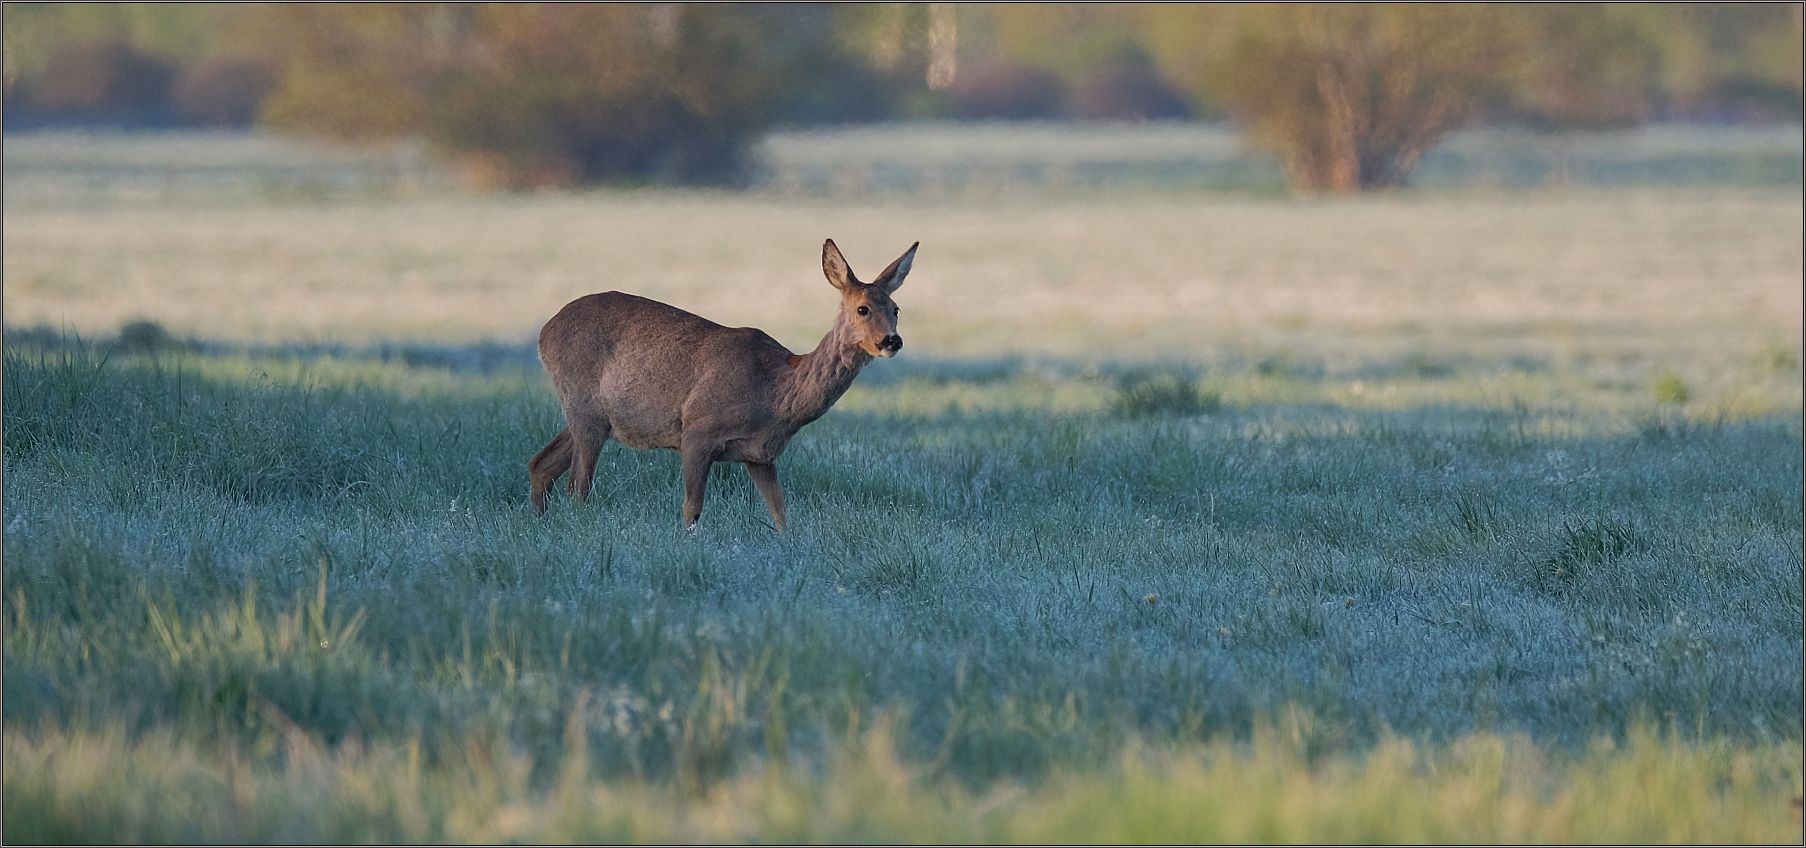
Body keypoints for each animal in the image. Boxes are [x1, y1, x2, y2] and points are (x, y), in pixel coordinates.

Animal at [527, 239, 917, 530]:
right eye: (863, 308)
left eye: (896, 308)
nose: (892, 341)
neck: (777, 394)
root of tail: (545, 332)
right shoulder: (697, 430)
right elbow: (691, 510)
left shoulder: (761, 455)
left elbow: (781, 515)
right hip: (584, 405)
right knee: (577, 487)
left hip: (592, 415)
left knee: (541, 464)